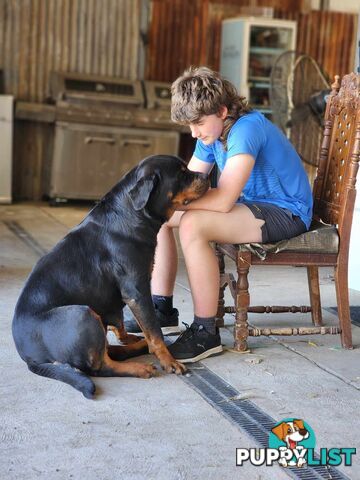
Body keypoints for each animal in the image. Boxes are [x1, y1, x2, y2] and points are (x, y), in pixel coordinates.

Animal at [12, 154, 208, 398]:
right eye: (182, 173)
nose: (208, 176)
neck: (132, 214)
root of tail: (29, 358)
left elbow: (121, 322)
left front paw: (132, 337)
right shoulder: (137, 289)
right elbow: (154, 331)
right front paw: (168, 361)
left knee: (110, 350)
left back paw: (137, 347)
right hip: (82, 314)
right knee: (99, 366)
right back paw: (139, 367)